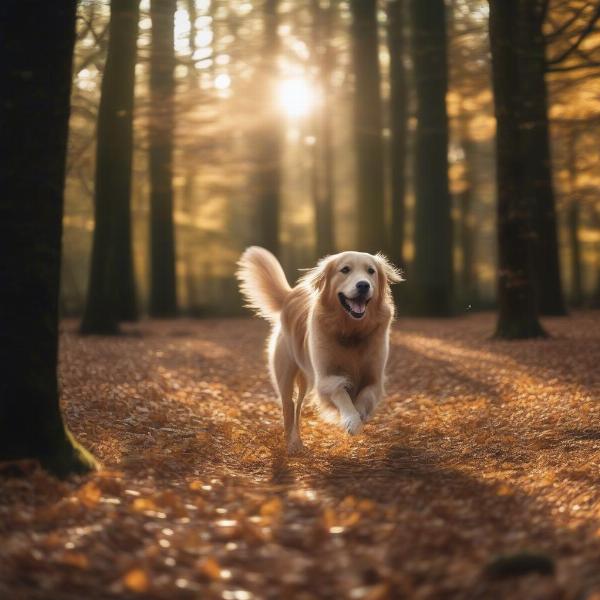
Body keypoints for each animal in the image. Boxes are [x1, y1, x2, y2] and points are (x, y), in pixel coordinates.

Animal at [234, 246, 404, 452]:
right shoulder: (326, 377)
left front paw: (360, 414)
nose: (363, 285)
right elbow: (342, 394)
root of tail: (290, 295)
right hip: (286, 376)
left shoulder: (375, 377)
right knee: (289, 408)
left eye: (371, 271)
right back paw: (292, 443)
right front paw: (352, 421)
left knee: (299, 406)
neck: (351, 331)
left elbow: (366, 396)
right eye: (345, 269)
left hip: (305, 381)